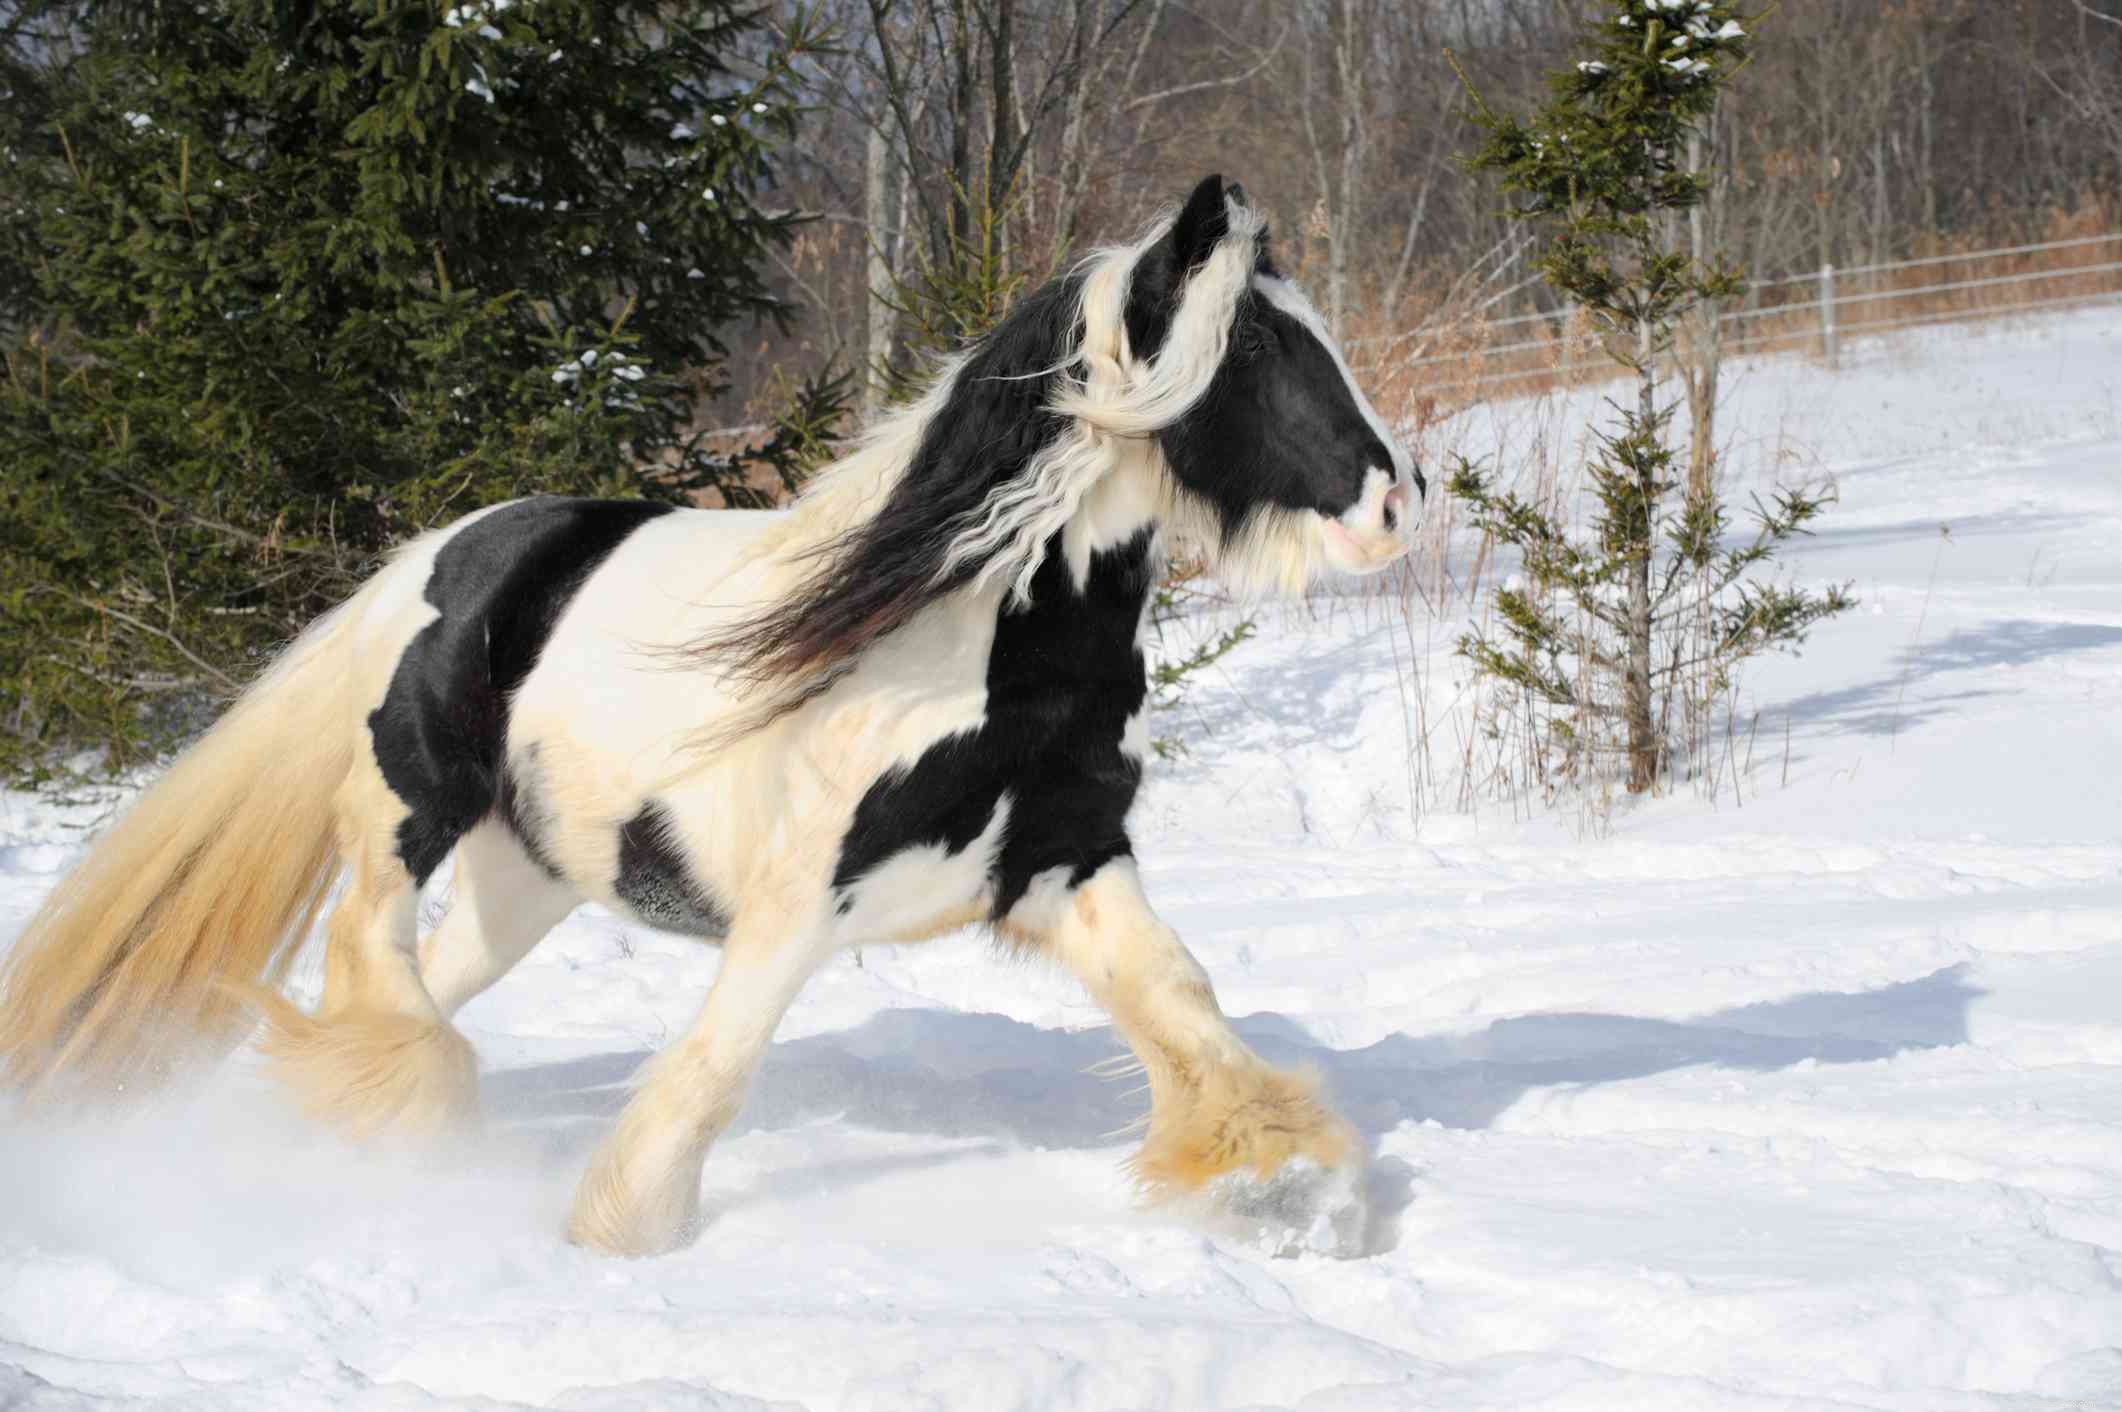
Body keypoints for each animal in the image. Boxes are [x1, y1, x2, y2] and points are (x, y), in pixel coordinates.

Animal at [0, 174, 1423, 1258]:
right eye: (1252, 346)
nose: (1393, 501)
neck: (972, 643)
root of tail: (437, 558)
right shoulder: (798, 898)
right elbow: (717, 1061)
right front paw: (623, 1232)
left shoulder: (1065, 860)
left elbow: (1182, 998)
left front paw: (1285, 1190)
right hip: (411, 807)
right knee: (367, 947)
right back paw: (406, 1127)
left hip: (529, 876)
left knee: (421, 980)